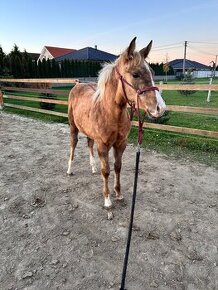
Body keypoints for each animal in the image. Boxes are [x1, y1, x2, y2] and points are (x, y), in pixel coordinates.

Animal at [67, 36, 166, 218]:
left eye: (153, 73)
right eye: (135, 74)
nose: (160, 108)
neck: (111, 113)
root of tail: (77, 84)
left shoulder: (120, 144)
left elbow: (117, 167)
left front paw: (118, 194)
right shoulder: (103, 145)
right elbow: (106, 171)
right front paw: (107, 201)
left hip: (90, 133)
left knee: (89, 144)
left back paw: (92, 167)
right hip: (73, 127)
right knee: (73, 144)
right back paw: (69, 169)